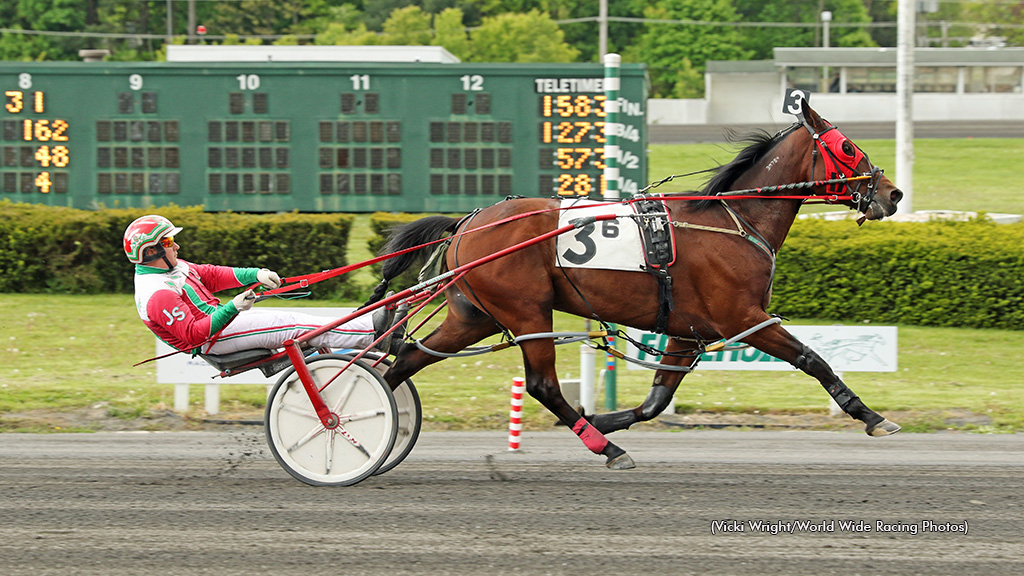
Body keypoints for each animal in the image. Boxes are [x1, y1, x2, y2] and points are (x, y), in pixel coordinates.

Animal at [370, 99, 905, 467]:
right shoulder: (743, 318)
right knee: (541, 384)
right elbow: (813, 360)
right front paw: (873, 418)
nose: (893, 193)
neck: (734, 221)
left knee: (407, 358)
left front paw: (604, 415)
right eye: (847, 147)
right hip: (526, 311)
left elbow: (656, 401)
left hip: (474, 314)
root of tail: (467, 222)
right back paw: (605, 448)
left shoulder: (689, 331)